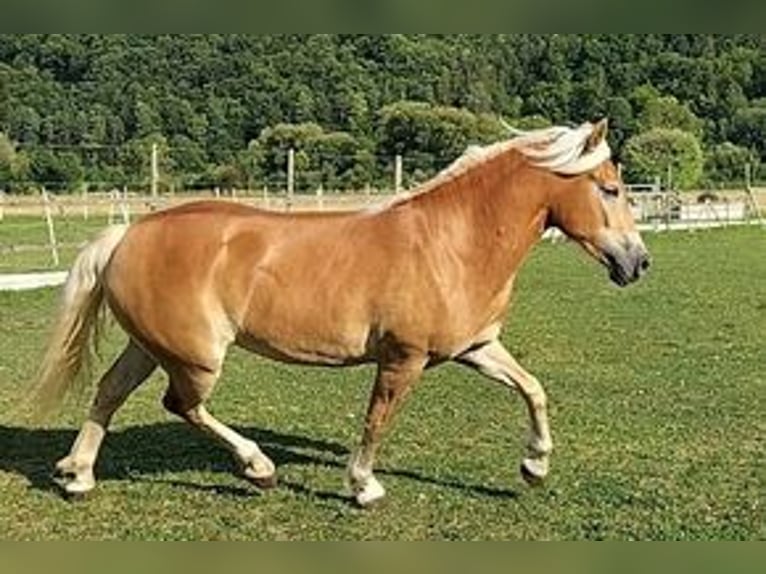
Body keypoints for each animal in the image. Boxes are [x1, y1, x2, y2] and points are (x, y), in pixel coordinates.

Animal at [34, 119, 648, 506]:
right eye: (610, 189)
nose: (638, 262)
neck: (453, 242)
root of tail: (129, 234)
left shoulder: (476, 347)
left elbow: (533, 389)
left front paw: (534, 467)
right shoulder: (403, 359)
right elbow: (377, 420)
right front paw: (363, 487)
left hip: (150, 346)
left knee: (109, 393)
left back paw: (77, 476)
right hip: (196, 357)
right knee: (181, 406)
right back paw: (258, 468)